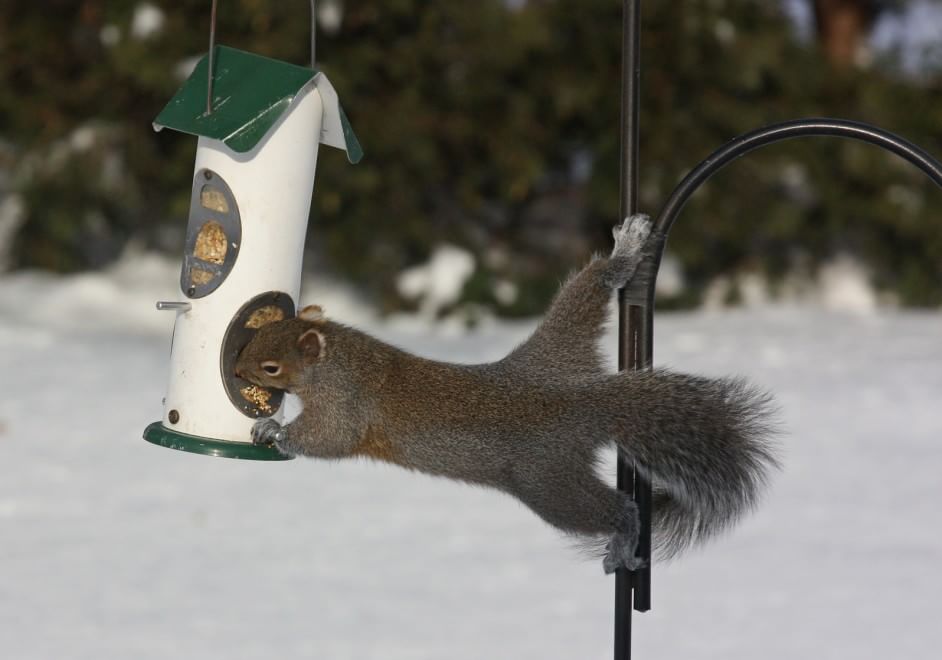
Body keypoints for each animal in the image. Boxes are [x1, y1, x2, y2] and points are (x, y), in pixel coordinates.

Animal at [235, 215, 779, 573]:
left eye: (271, 364)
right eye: (256, 335)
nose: (238, 368)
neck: (341, 359)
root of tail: (583, 403)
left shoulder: (347, 404)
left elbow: (329, 438)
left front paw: (273, 430)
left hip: (549, 484)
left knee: (611, 510)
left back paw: (624, 537)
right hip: (561, 347)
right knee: (588, 289)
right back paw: (625, 252)